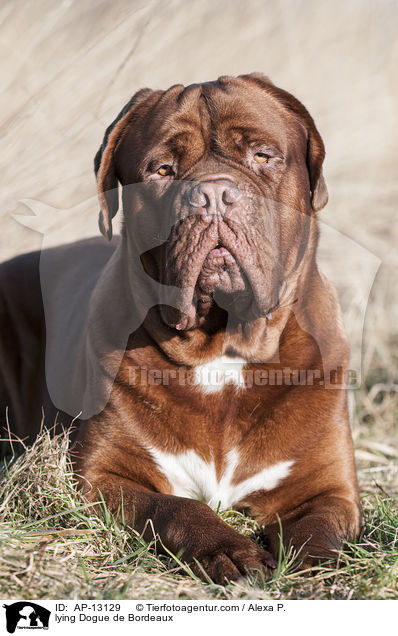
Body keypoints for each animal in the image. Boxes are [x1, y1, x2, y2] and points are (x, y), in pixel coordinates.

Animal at [0, 73, 360, 580]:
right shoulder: (104, 476)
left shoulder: (327, 487)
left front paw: (314, 569)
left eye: (261, 155)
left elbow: (318, 527)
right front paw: (230, 550)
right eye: (163, 170)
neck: (222, 350)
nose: (212, 195)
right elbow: (175, 507)